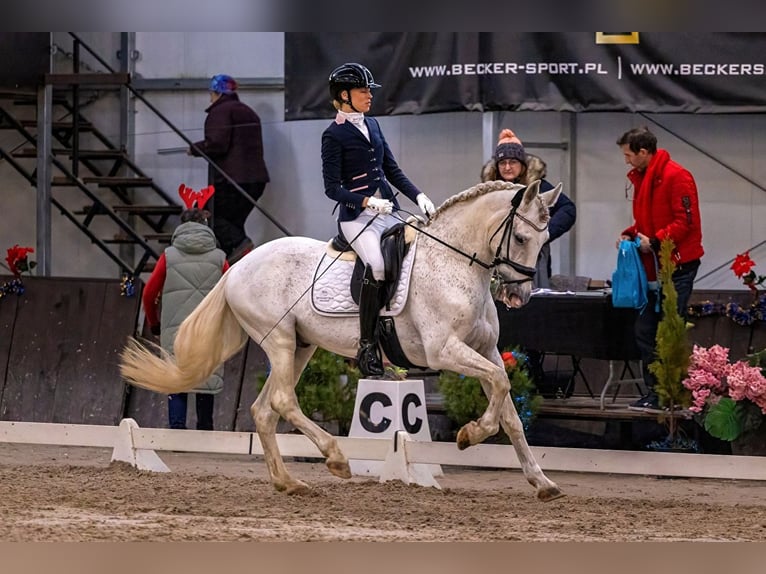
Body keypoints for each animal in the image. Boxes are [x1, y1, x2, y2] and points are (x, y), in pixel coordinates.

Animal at [120, 182, 564, 502]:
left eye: (545, 242)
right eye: (520, 238)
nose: (519, 297)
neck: (452, 262)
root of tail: (239, 266)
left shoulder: (486, 351)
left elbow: (509, 411)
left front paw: (542, 483)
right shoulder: (444, 351)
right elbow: (501, 388)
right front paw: (468, 435)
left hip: (300, 347)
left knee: (264, 410)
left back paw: (289, 483)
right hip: (280, 341)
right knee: (282, 401)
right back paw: (335, 458)